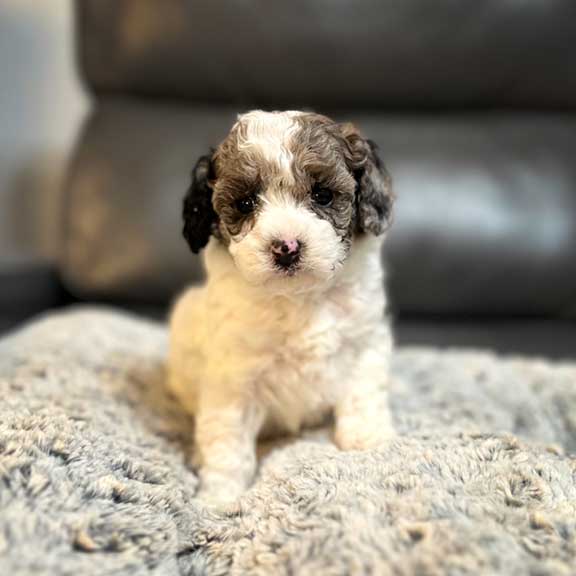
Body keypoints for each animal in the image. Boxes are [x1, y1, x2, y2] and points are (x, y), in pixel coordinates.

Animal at [170, 109, 396, 504]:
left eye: (323, 195)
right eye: (245, 203)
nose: (286, 247)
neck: (300, 296)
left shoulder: (364, 341)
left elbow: (363, 394)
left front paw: (368, 441)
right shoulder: (234, 377)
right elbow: (227, 438)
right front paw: (220, 496)